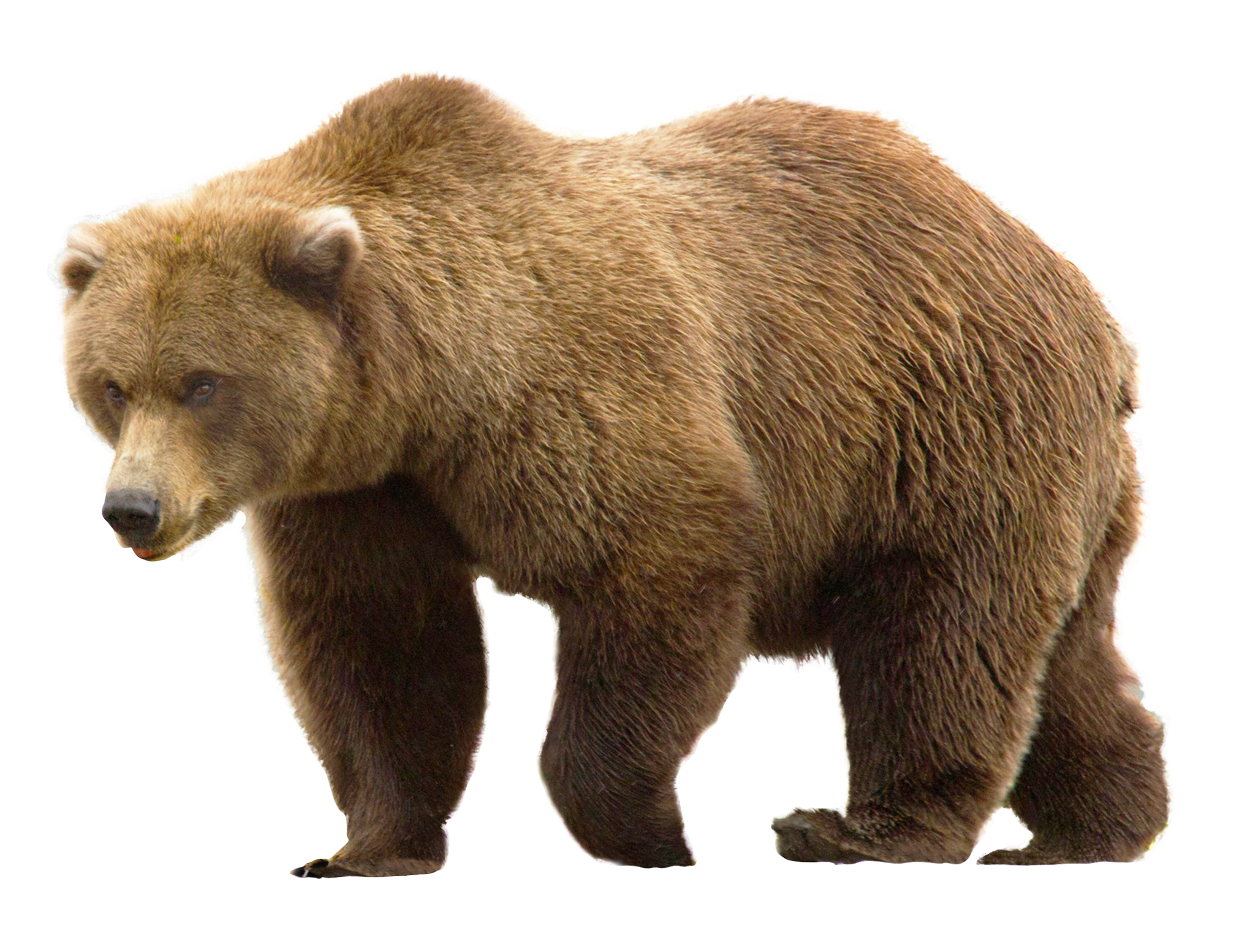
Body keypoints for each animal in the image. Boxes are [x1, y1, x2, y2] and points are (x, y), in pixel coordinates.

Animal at [55, 68, 1169, 872]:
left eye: (202, 381)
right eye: (111, 384)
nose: (132, 508)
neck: (425, 385)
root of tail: (1086, 306)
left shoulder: (577, 386)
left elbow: (654, 565)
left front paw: (652, 833)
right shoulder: (359, 485)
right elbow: (382, 644)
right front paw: (368, 847)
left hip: (949, 427)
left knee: (940, 633)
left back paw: (865, 832)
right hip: (1057, 480)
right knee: (1064, 661)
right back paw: (1099, 827)